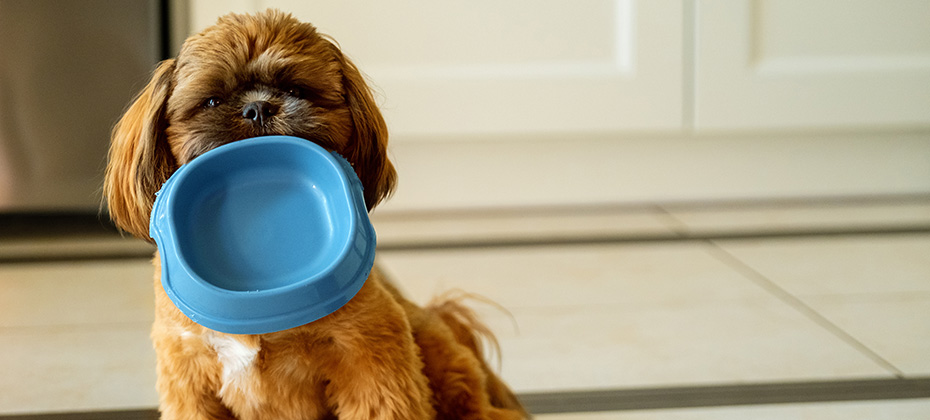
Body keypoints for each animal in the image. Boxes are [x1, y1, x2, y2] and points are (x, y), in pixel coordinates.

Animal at [105, 9, 524, 420]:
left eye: (296, 90)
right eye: (211, 101)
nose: (258, 108)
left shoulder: (371, 359)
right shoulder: (189, 377)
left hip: (438, 353)